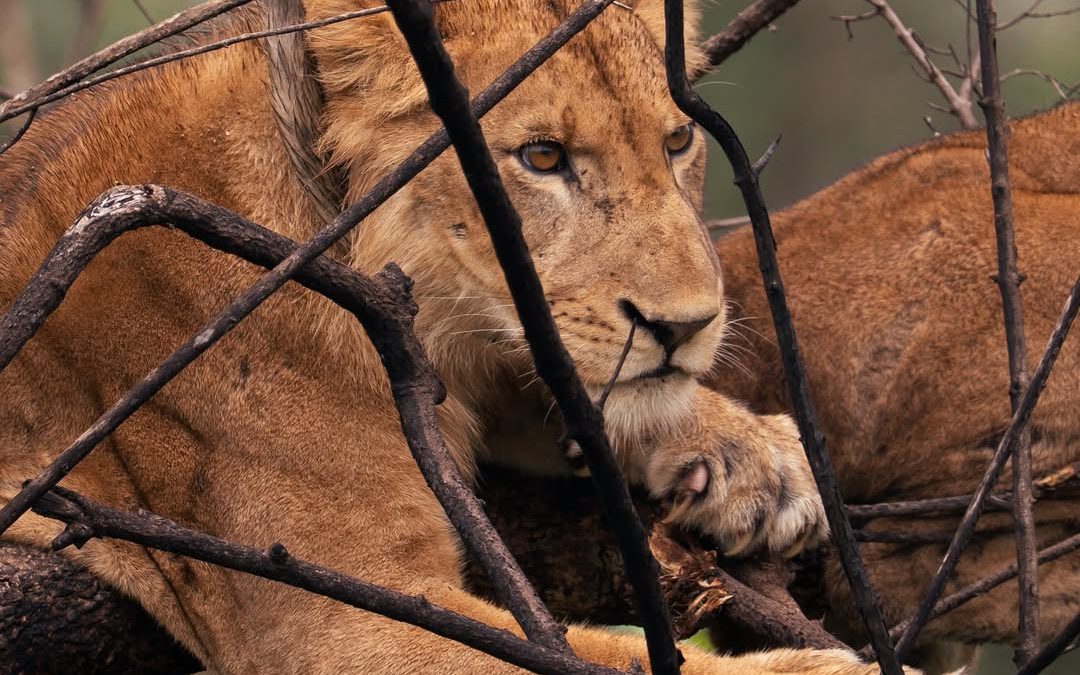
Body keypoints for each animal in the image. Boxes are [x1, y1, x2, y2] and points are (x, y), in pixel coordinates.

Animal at [0, 0, 890, 673]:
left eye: (677, 142)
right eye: (542, 156)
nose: (687, 325)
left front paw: (753, 453)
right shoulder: (342, 618)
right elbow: (602, 656)